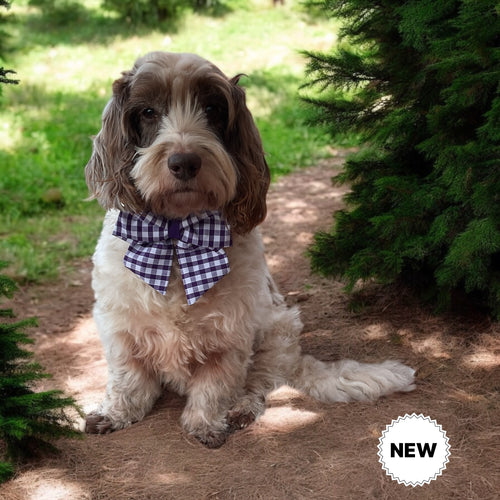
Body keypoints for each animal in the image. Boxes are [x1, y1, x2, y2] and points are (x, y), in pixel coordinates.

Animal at [84, 52, 416, 448]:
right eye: (148, 111)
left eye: (212, 108)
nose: (185, 162)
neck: (177, 238)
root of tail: (296, 359)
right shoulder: (122, 326)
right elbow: (128, 380)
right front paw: (116, 413)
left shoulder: (229, 337)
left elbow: (215, 386)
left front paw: (206, 423)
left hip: (277, 333)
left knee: (259, 385)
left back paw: (241, 409)